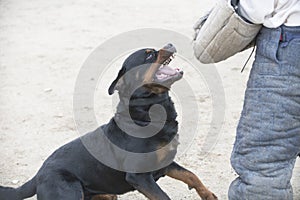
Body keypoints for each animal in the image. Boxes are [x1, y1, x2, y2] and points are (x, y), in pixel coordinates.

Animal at [0, 44, 216, 200]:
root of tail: (38, 175)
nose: (170, 43)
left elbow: (192, 175)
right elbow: (164, 197)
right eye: (148, 55)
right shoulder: (139, 177)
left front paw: (209, 195)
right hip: (69, 190)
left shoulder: (166, 163)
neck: (145, 115)